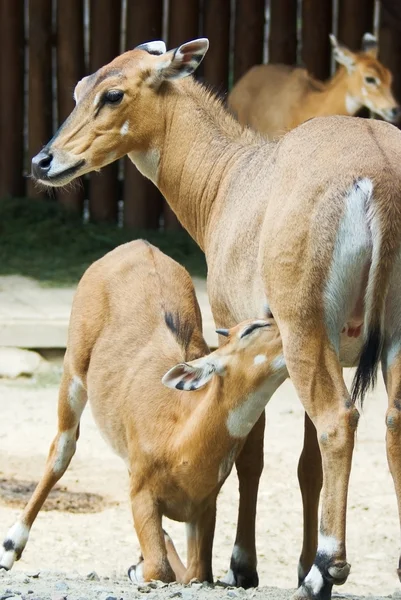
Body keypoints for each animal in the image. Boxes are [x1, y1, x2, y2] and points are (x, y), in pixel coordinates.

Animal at [0, 240, 288, 584]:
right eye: (250, 329)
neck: (181, 440)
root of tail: (139, 244)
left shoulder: (204, 507)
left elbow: (198, 574)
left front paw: (143, 560)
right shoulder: (141, 494)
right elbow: (161, 569)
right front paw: (138, 568)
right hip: (73, 370)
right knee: (61, 449)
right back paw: (10, 548)